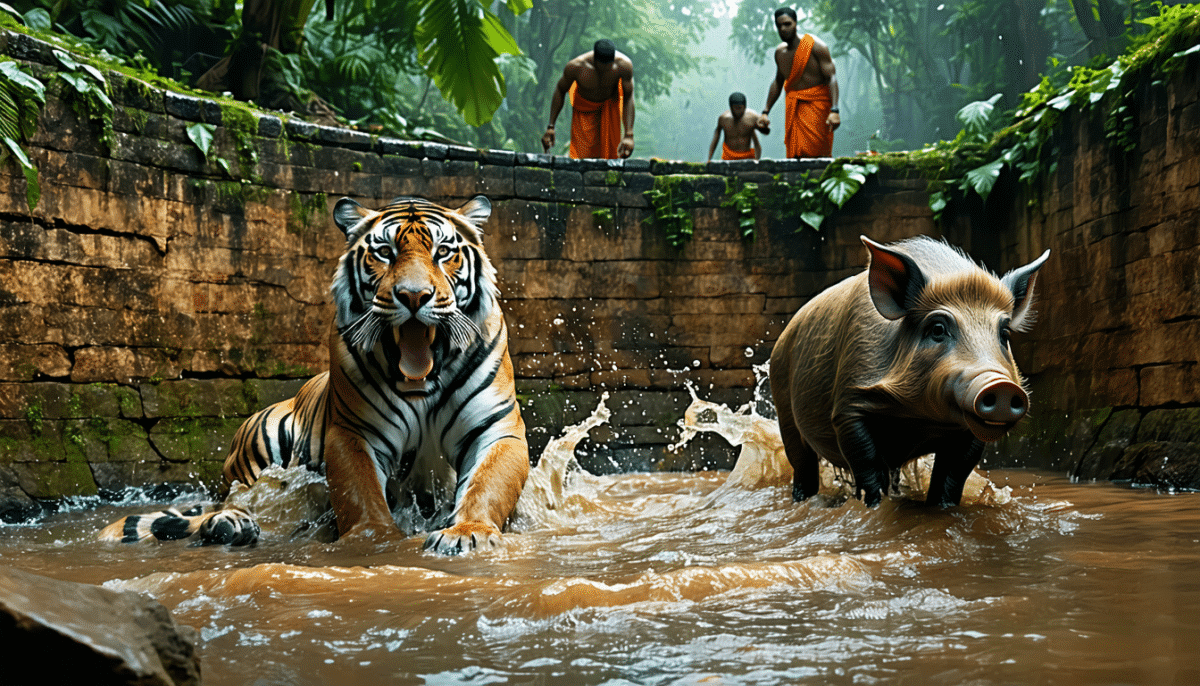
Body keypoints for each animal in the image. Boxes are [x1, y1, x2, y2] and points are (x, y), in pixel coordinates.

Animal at [99, 195, 530, 554]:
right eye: (385, 253)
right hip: (259, 447)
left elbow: (486, 486)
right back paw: (231, 524)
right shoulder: (355, 432)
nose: (413, 296)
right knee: (237, 500)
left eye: (443, 252)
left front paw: (468, 533)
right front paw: (375, 538)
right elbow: (360, 492)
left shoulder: (496, 429)